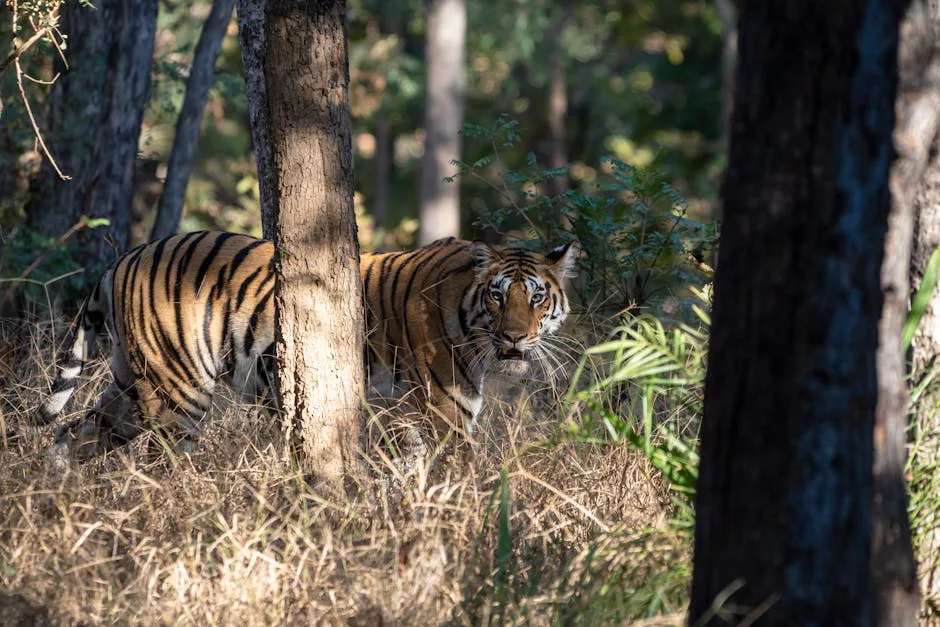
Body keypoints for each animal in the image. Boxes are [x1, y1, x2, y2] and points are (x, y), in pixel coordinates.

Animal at [38, 231, 577, 458]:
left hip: (130, 387)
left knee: (70, 435)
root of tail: (125, 257)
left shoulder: (404, 421)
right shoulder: (447, 413)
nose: (515, 335)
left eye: (536, 298)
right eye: (497, 296)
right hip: (177, 390)